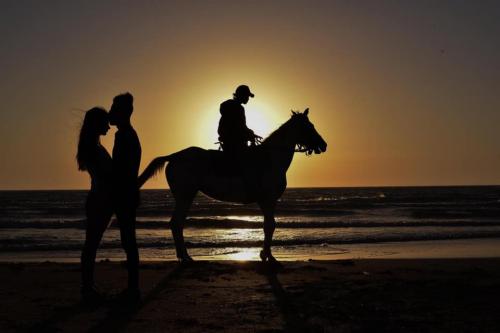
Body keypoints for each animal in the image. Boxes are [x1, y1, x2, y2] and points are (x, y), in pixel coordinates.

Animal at [140, 107, 328, 264]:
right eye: (309, 127)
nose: (323, 145)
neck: (270, 159)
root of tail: (174, 156)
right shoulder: (268, 200)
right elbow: (270, 226)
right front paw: (268, 256)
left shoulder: (266, 201)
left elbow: (268, 225)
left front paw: (265, 254)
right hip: (185, 195)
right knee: (176, 223)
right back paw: (185, 257)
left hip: (186, 196)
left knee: (177, 223)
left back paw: (184, 256)